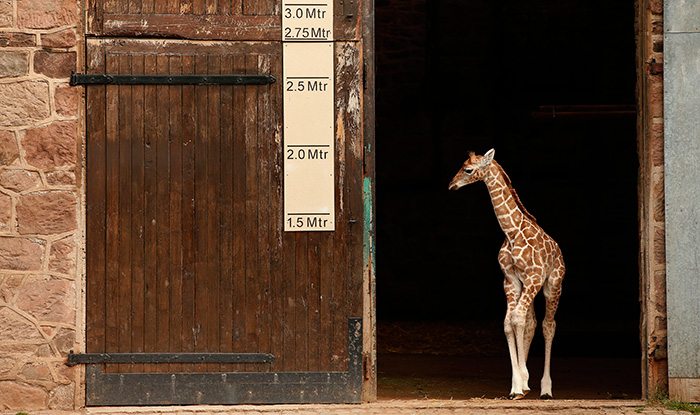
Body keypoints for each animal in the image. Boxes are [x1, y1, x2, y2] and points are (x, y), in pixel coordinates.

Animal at [452, 150, 568, 400]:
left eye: (468, 169)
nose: (452, 185)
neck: (511, 231)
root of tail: (559, 251)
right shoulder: (511, 280)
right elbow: (510, 322)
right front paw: (518, 385)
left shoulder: (534, 277)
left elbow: (517, 319)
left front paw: (524, 377)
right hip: (529, 288)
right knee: (531, 322)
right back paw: (527, 385)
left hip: (552, 285)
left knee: (548, 325)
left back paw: (546, 389)